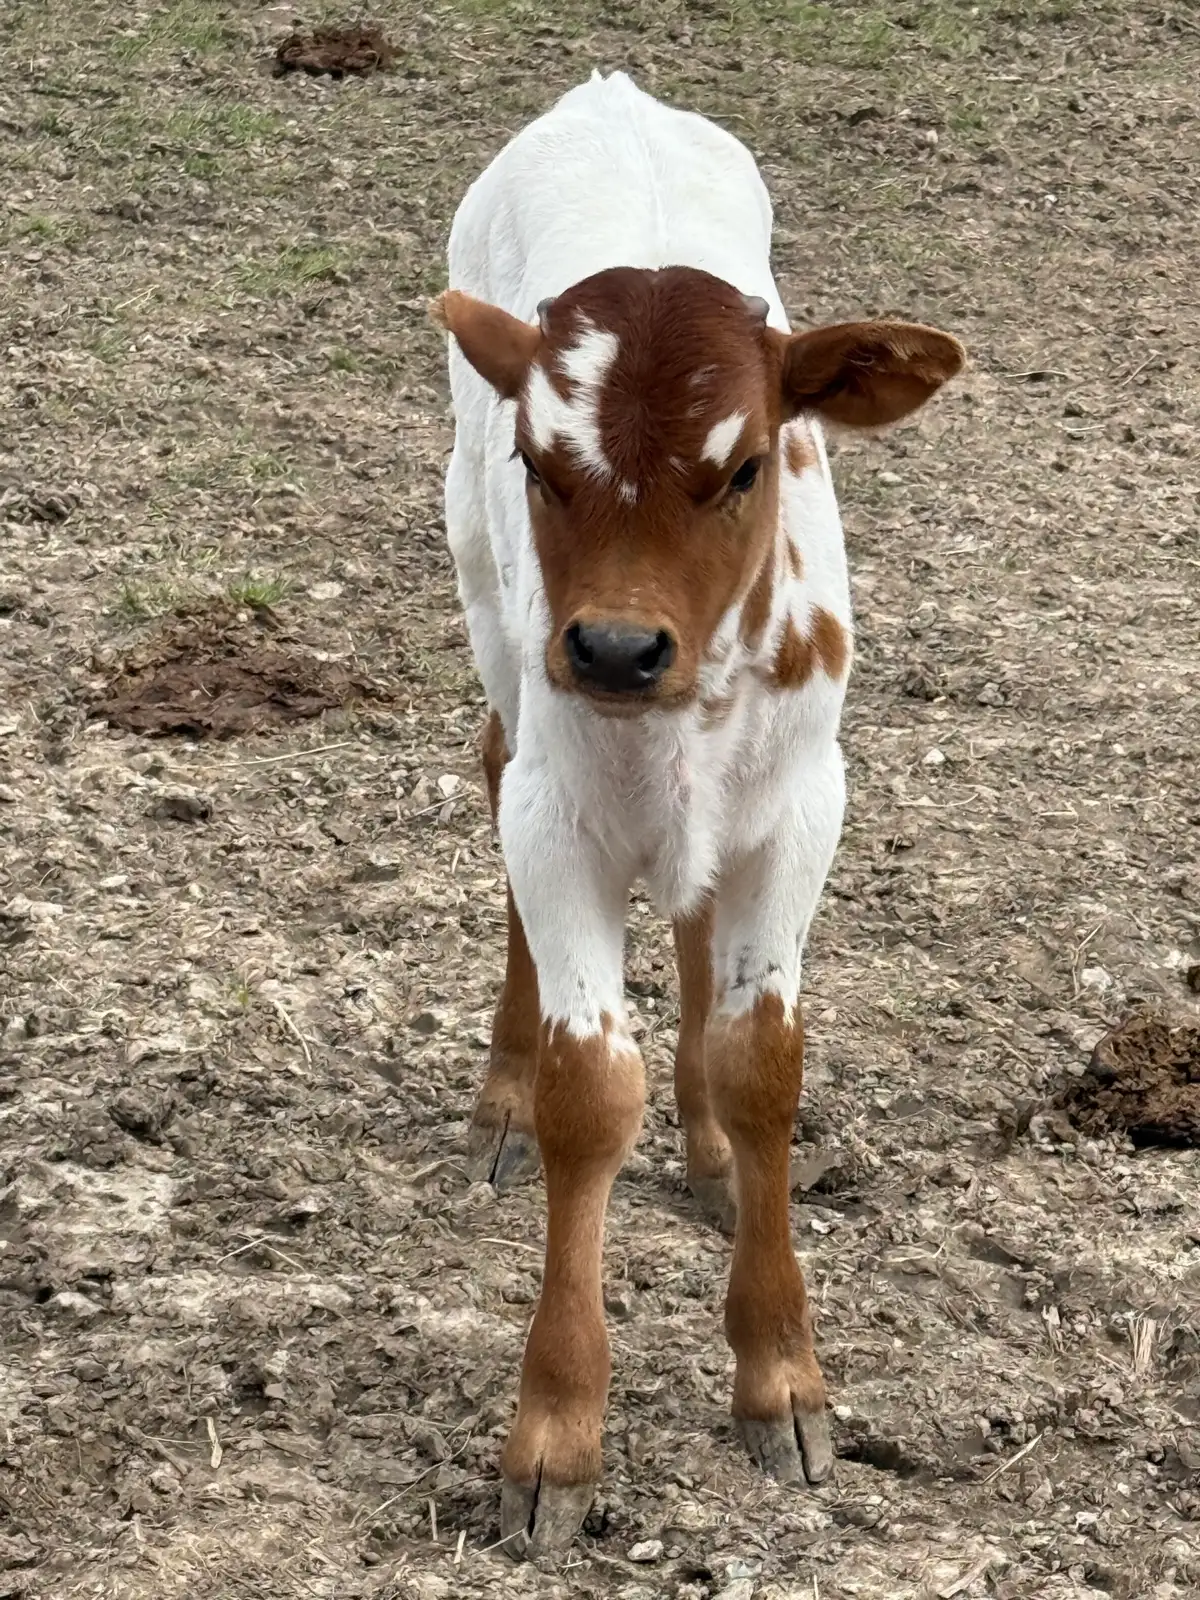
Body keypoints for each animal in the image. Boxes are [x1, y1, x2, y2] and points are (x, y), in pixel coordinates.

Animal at [431, 70, 963, 1556]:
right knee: (497, 750)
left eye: (742, 470)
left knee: (693, 915)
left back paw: (713, 1152)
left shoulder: (802, 808)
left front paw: (782, 1373)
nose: (617, 649)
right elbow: (587, 1091)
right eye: (539, 461)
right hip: (493, 622)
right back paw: (499, 1101)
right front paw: (554, 1432)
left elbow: (760, 1055)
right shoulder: (557, 808)